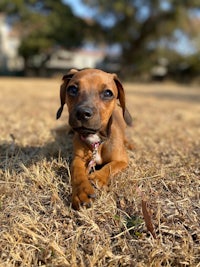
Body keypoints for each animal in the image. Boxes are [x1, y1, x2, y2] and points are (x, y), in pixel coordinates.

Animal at [56, 68, 132, 210]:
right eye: (72, 89)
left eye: (108, 93)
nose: (82, 113)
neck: (97, 141)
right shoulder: (78, 158)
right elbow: (77, 171)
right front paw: (81, 191)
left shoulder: (122, 160)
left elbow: (110, 166)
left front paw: (97, 177)